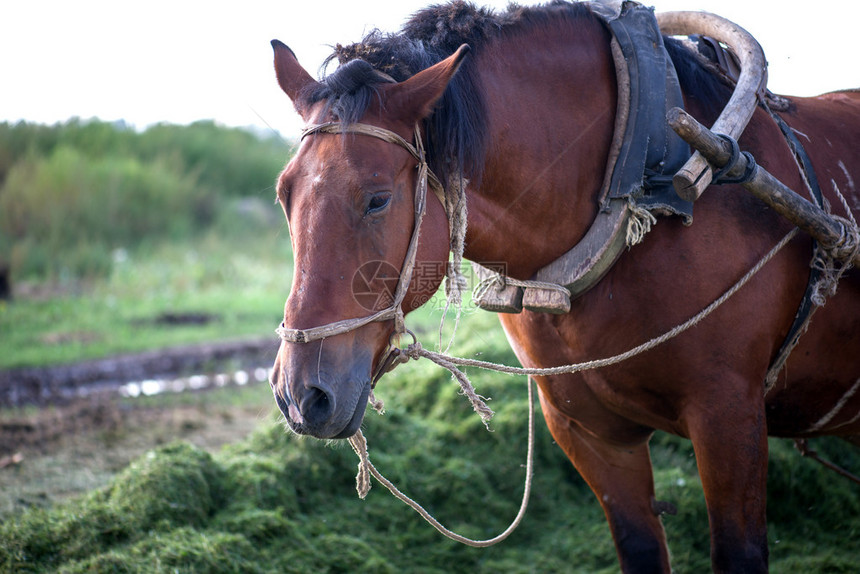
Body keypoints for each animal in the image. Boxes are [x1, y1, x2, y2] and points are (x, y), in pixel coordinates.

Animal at [268, 2, 860, 572]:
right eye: (284, 193)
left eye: (377, 199)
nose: (302, 394)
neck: (640, 180)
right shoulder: (588, 432)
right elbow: (639, 546)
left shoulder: (728, 415)